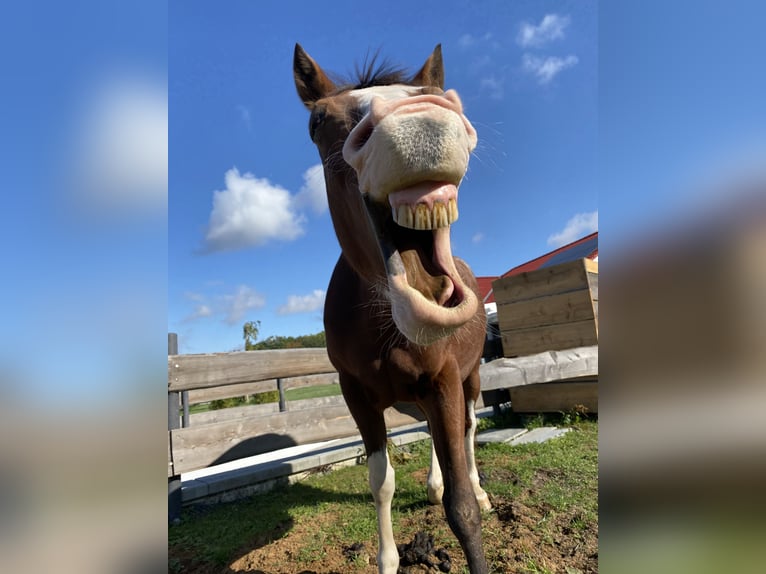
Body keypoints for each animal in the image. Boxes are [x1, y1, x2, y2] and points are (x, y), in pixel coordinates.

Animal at [293, 43, 491, 573]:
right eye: (317, 121)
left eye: (429, 91)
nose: (419, 121)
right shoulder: (357, 396)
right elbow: (381, 483)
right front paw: (388, 559)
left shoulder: (445, 380)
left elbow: (462, 508)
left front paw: (470, 499)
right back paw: (434, 484)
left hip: (469, 380)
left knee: (468, 431)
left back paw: (480, 487)